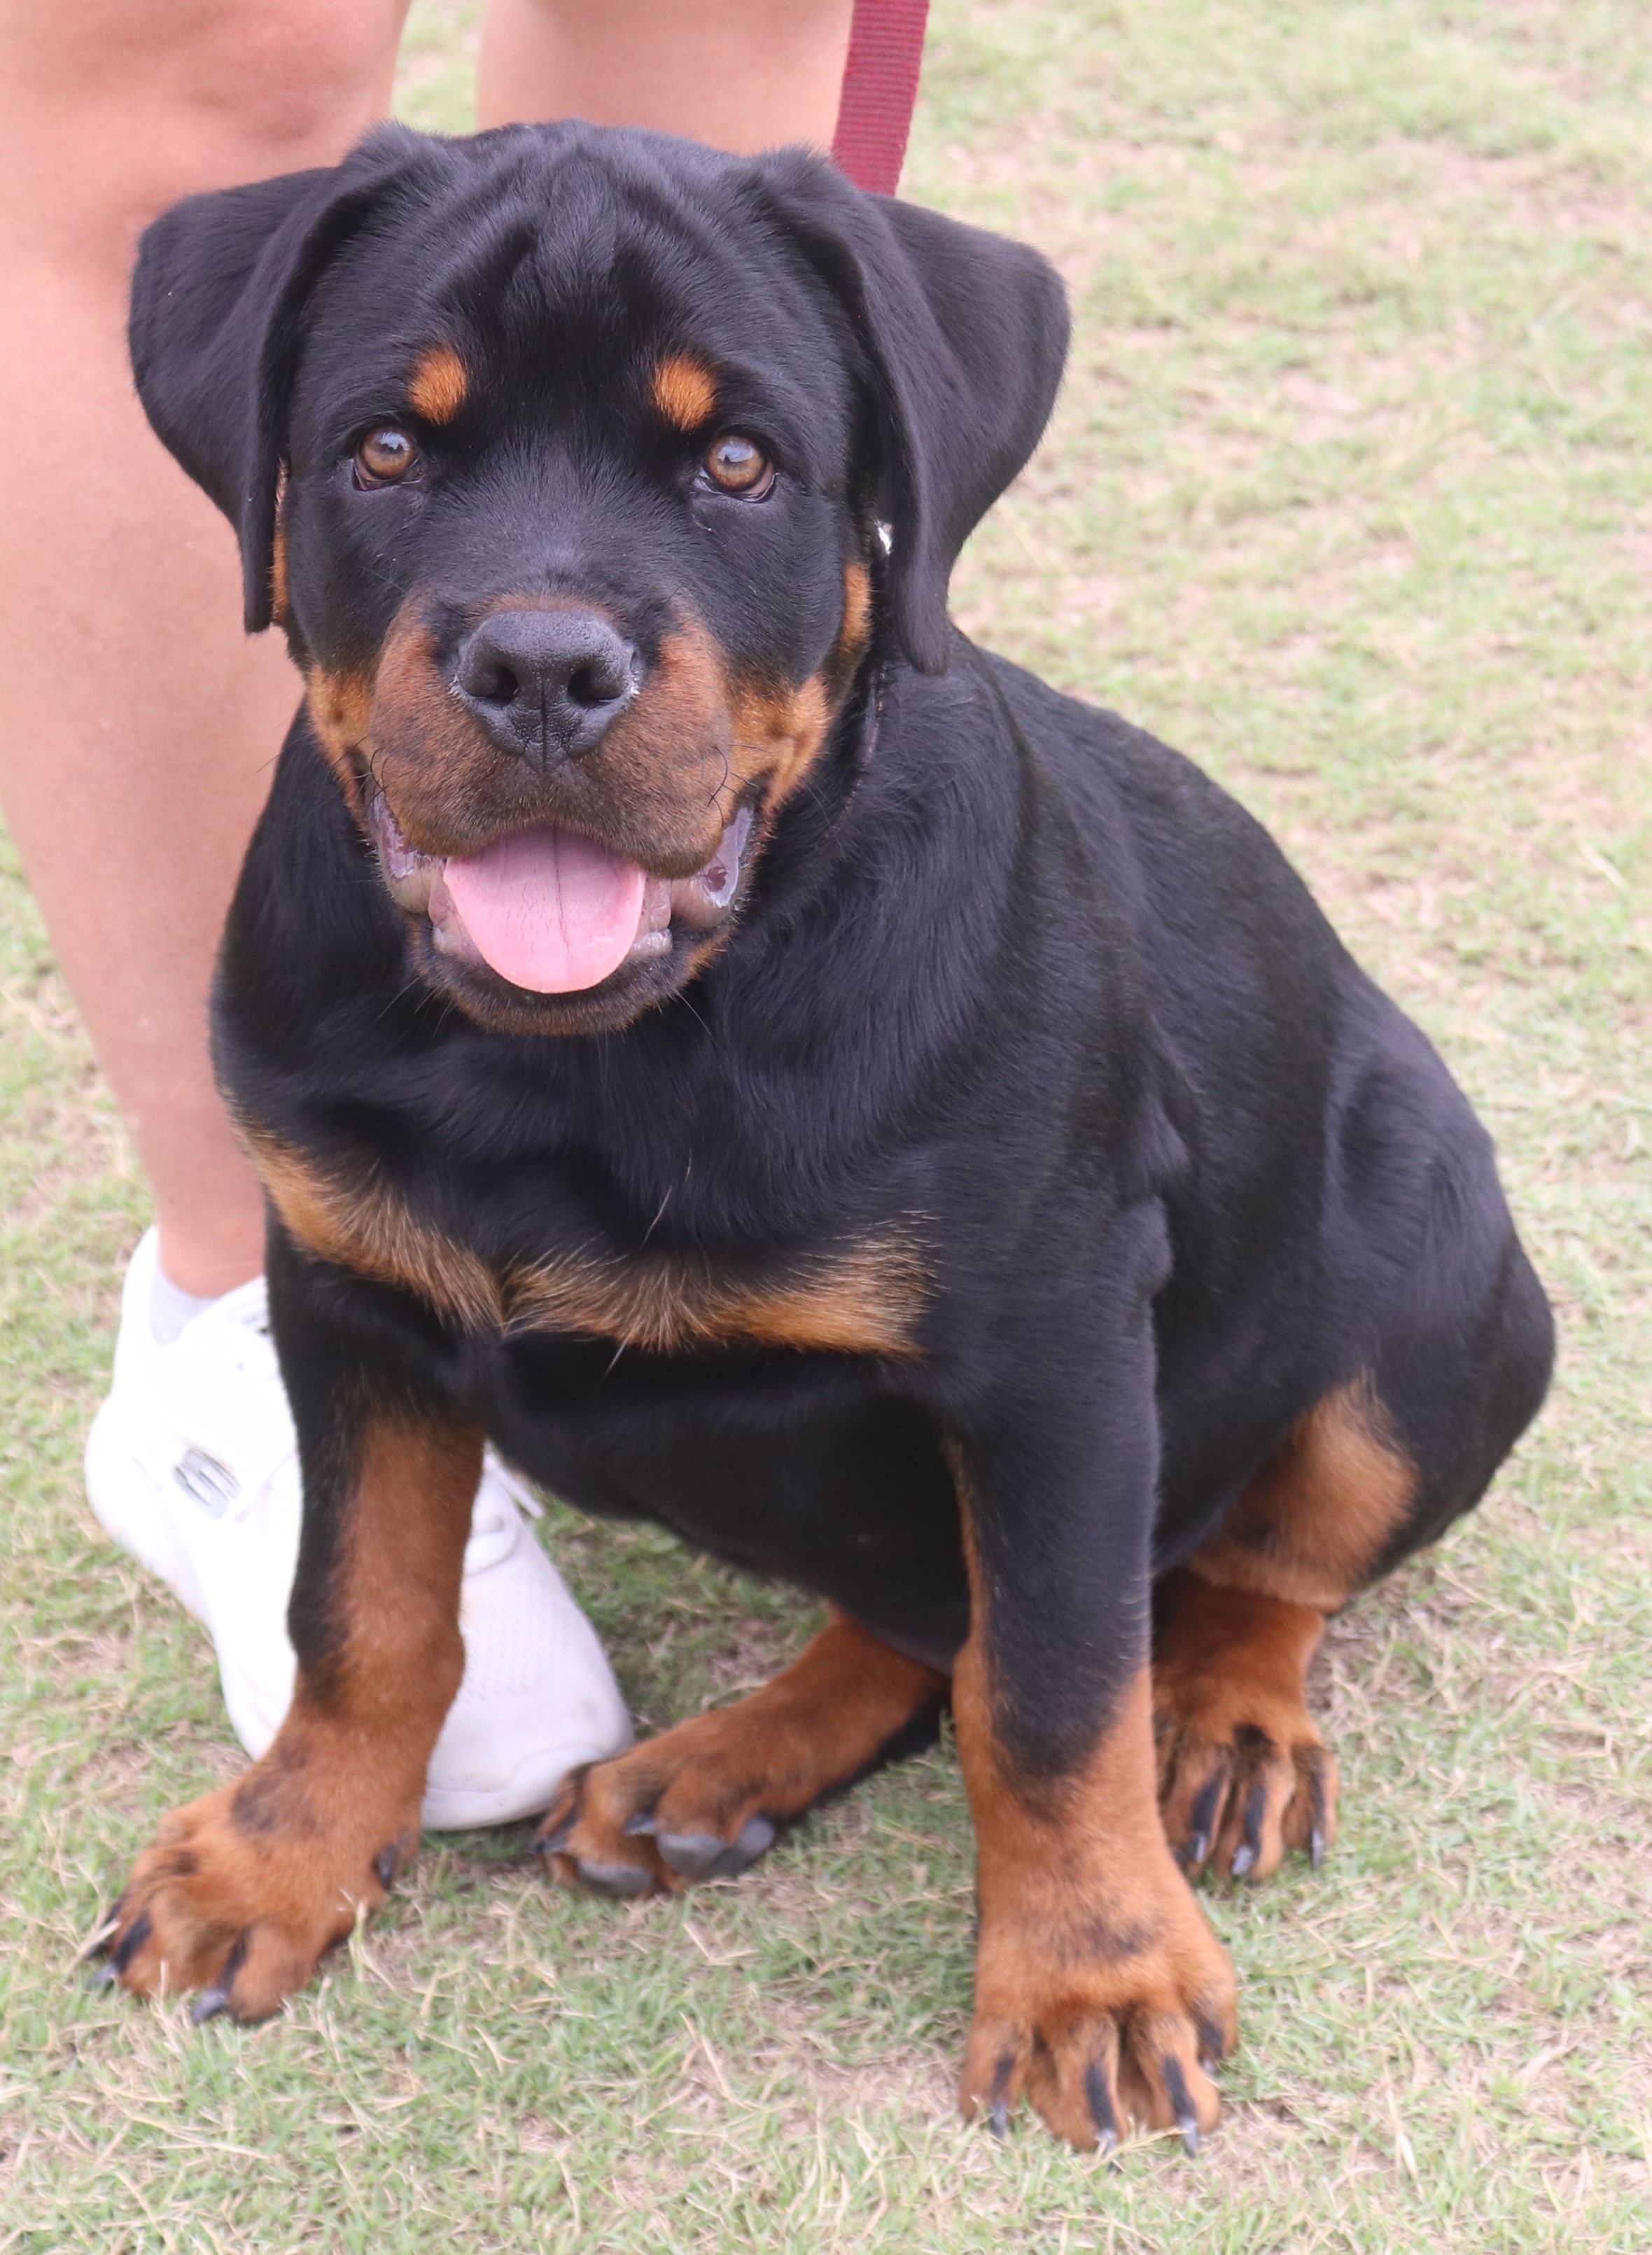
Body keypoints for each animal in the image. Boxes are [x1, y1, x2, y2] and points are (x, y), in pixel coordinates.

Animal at [99, 121, 1553, 2154]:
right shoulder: (346, 1286)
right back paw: (711, 1770)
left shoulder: (1054, 1352)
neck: (596, 1051)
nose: (542, 666)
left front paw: (1093, 1973)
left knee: (1253, 1567)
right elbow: (362, 1609)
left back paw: (1230, 1730)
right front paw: (277, 1858)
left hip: (1439, 1279)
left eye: (737, 463)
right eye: (386, 448)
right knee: (923, 1611)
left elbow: (1057, 1684)